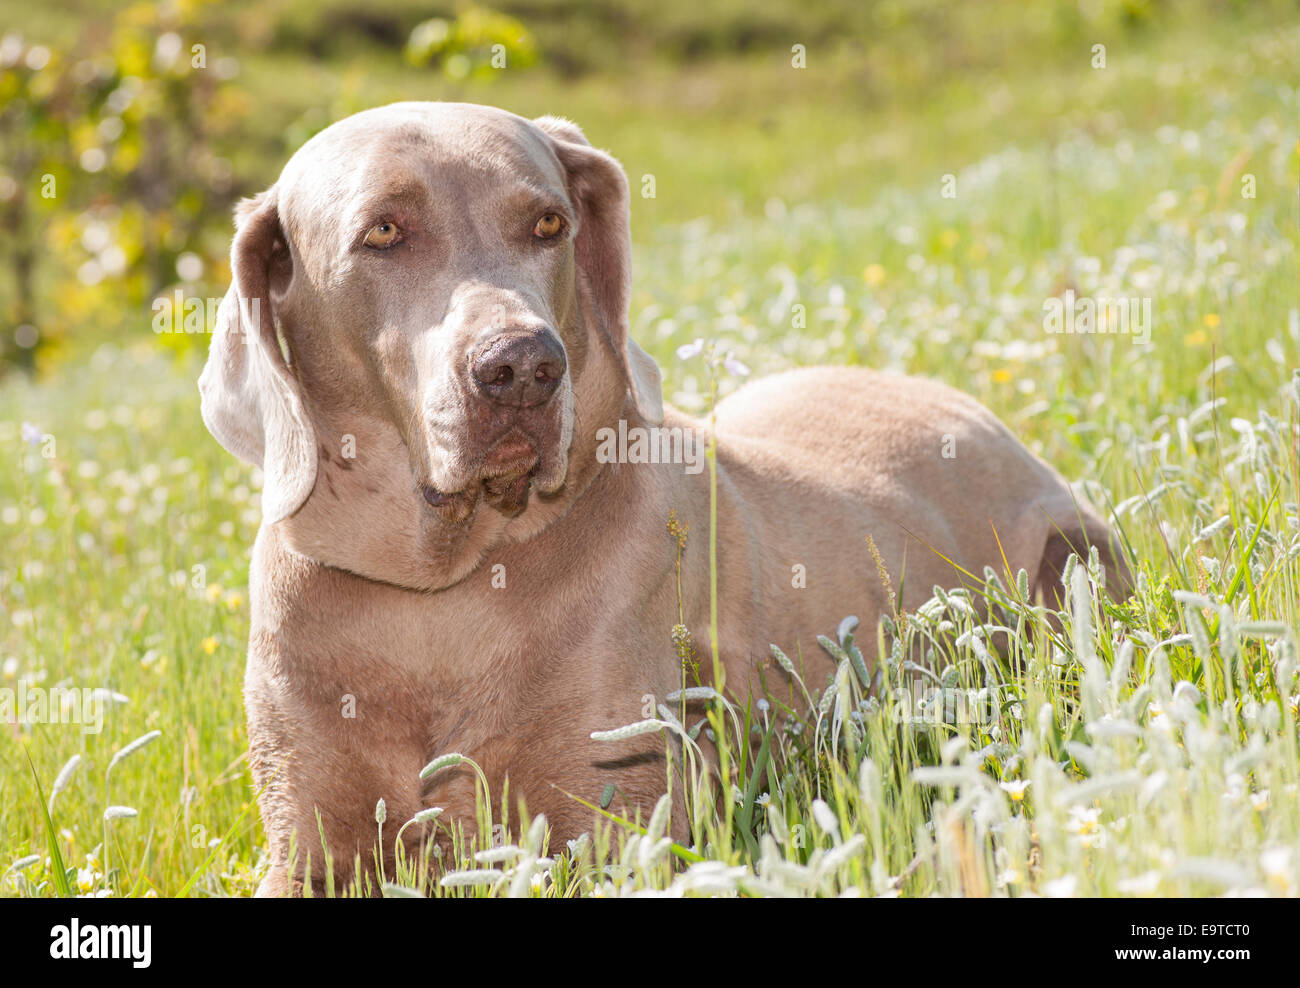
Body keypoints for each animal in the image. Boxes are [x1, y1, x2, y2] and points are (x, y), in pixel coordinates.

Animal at [197, 100, 1123, 894]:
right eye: (383, 231)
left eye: (549, 224)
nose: (523, 366)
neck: (441, 593)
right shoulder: (304, 847)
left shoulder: (615, 827)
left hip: (1071, 565)